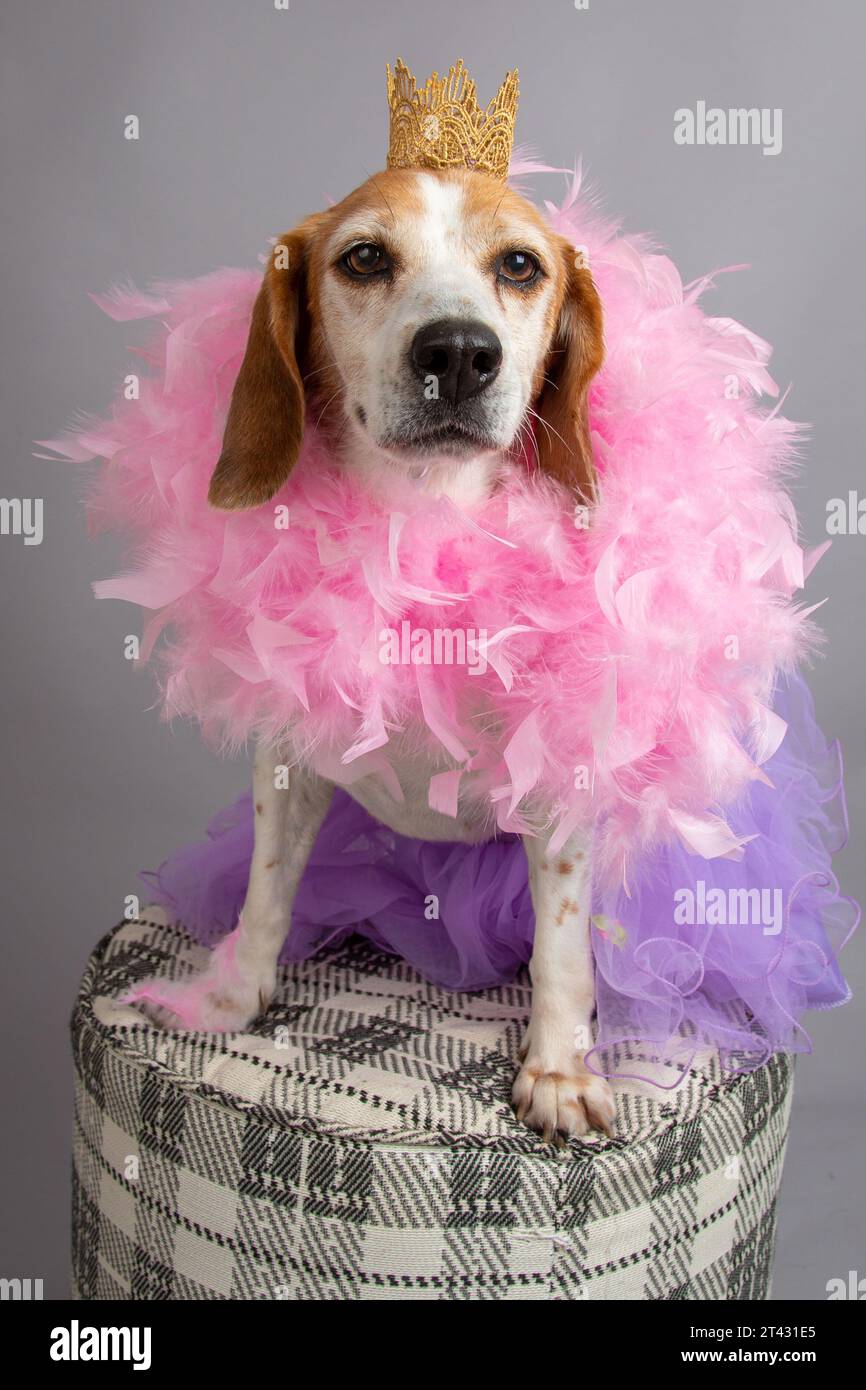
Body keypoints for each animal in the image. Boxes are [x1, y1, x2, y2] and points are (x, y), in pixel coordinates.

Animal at [143, 162, 617, 1139]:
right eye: (364, 258)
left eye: (519, 265)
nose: (461, 352)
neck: (420, 530)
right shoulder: (287, 763)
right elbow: (266, 885)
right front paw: (231, 995)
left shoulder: (560, 777)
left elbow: (560, 937)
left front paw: (558, 1066)